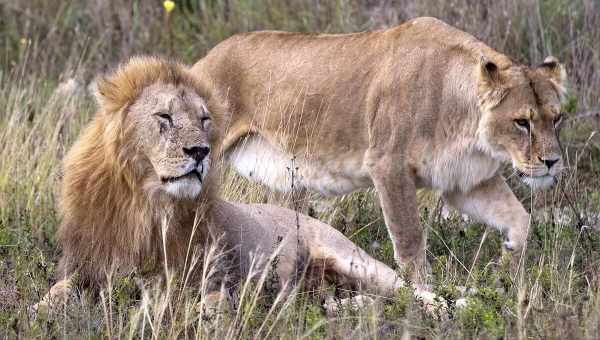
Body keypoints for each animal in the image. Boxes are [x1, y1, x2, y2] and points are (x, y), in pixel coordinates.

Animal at [34, 55, 446, 314]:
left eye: (204, 120)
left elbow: (212, 301)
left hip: (354, 260)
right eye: (164, 116)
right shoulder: (88, 266)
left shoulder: (206, 275)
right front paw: (42, 308)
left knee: (412, 290)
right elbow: (58, 291)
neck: (146, 205)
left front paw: (209, 315)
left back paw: (444, 308)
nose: (200, 151)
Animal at [191, 17, 568, 278]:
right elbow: (410, 240)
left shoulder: (466, 181)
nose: (552, 162)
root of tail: (201, 61)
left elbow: (520, 219)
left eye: (557, 118)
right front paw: (420, 295)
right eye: (522, 122)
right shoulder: (388, 165)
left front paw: (505, 267)